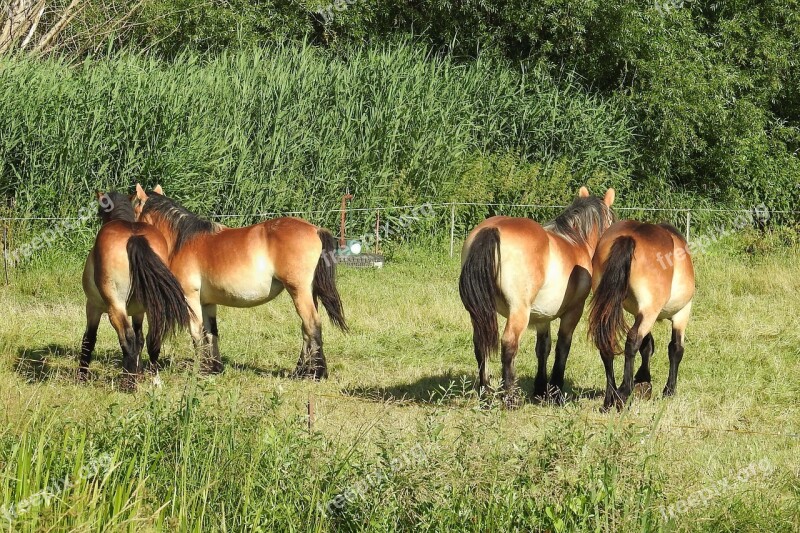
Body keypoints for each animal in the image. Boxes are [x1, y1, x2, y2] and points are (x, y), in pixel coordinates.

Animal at [79, 189, 192, 388]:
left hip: (115, 308)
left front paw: (82, 377)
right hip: (154, 306)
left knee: (127, 339)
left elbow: (89, 339)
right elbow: (140, 340)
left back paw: (129, 383)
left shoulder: (93, 307)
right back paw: (153, 380)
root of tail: (134, 237)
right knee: (152, 339)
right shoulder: (138, 312)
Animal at [132, 183, 346, 378]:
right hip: (308, 293)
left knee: (312, 325)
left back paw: (316, 373)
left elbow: (196, 333)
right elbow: (211, 333)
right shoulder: (207, 303)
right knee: (306, 329)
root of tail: (315, 229)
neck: (183, 241)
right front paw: (214, 369)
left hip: (299, 292)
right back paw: (300, 371)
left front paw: (199, 371)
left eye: (135, 210)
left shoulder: (190, 298)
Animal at [456, 187, 620, 404]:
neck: (577, 241)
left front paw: (541, 390)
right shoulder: (574, 311)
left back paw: (485, 394)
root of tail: (491, 229)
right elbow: (562, 347)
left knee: (480, 344)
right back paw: (510, 398)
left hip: (478, 312)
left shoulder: (543, 316)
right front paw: (556, 392)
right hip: (519, 312)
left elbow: (543, 348)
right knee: (509, 345)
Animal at [588, 218, 692, 410]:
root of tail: (629, 237)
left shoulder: (639, 313)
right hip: (651, 311)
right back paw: (623, 394)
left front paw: (644, 380)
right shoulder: (681, 313)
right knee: (633, 340)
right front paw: (668, 390)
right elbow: (675, 348)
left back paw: (609, 399)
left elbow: (647, 345)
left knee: (607, 344)